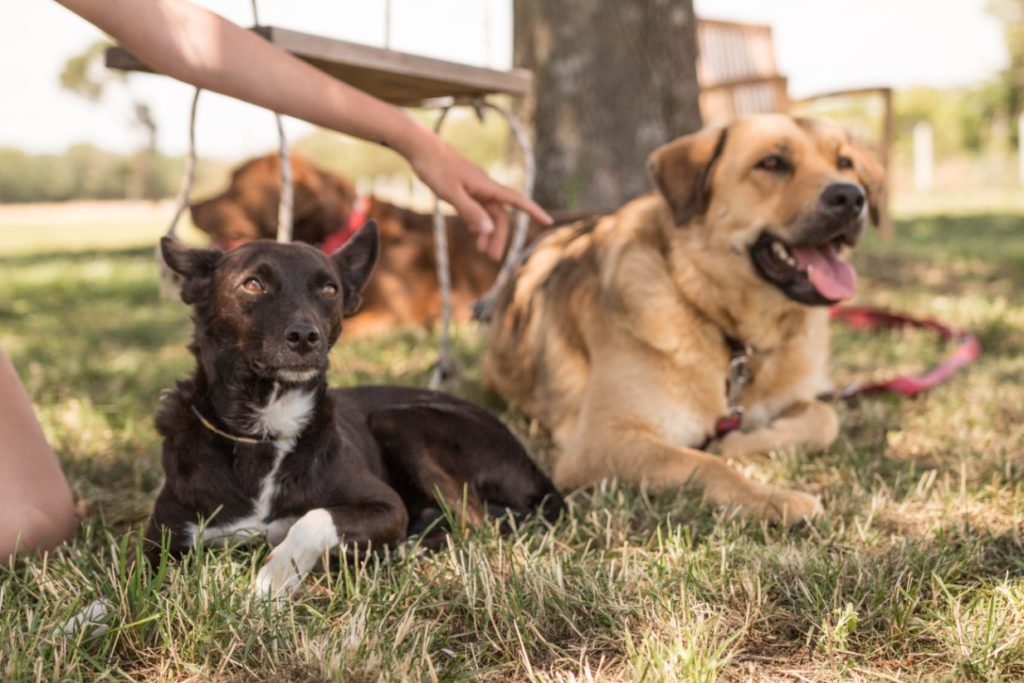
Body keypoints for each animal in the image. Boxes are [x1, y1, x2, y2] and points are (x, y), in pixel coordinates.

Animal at [149, 222, 565, 593]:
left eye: (328, 288)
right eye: (253, 284)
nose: (306, 336)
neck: (266, 428)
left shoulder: (387, 506)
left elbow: (311, 519)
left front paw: (275, 578)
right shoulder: (163, 535)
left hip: (396, 419)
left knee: (476, 523)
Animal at [483, 116, 884, 524]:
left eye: (844, 163)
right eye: (772, 163)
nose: (851, 198)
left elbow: (824, 418)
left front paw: (740, 441)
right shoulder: (599, 442)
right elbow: (704, 463)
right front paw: (774, 498)